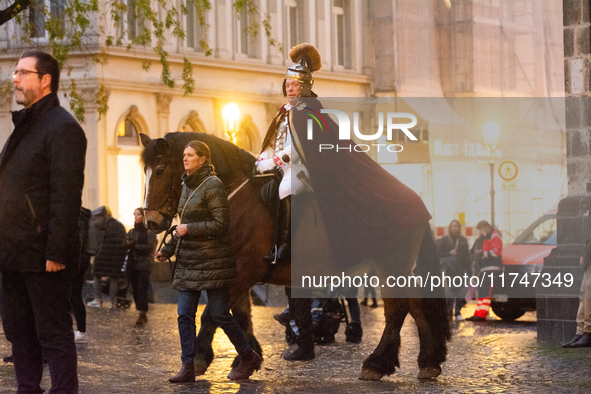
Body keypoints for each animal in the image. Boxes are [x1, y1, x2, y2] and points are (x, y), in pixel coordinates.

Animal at [141, 132, 450, 382]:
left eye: (160, 170)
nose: (151, 221)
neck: (231, 197)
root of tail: (415, 198)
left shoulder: (243, 271)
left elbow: (211, 316)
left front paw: (200, 358)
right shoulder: (236, 272)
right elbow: (240, 316)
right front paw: (249, 357)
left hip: (390, 263)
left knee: (397, 309)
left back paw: (377, 363)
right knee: (417, 305)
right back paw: (428, 362)